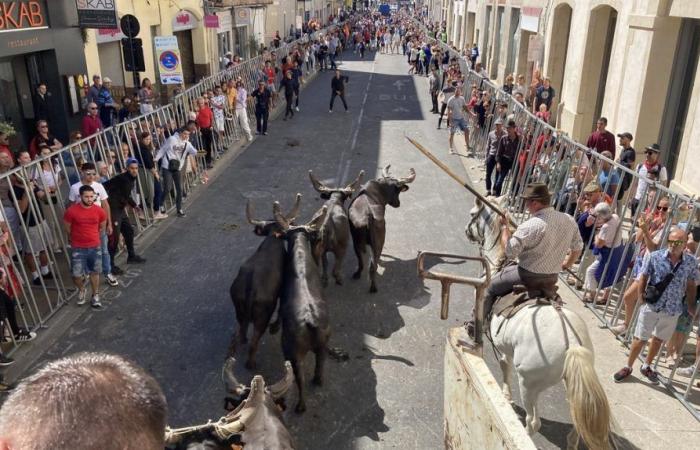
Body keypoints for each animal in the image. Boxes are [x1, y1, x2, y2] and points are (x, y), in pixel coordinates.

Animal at [348, 164, 412, 292]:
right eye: (398, 191)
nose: (398, 204)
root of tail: (369, 214)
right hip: (379, 241)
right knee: (373, 265)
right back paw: (373, 287)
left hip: (356, 240)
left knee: (362, 261)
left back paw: (358, 275)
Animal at [468, 198, 616, 450]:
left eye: (472, 213)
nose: (467, 232)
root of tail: (572, 344)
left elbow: (504, 367)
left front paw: (506, 396)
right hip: (571, 384)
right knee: (576, 422)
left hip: (529, 383)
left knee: (533, 421)